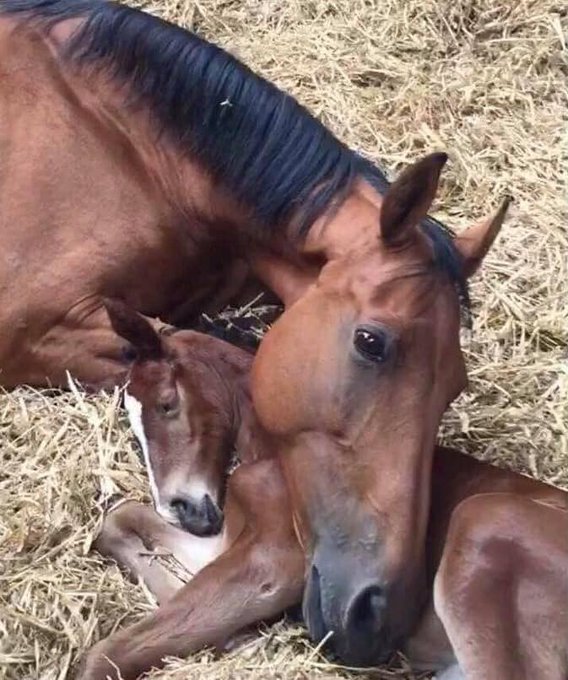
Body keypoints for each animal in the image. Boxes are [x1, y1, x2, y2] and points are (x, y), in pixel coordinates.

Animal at [80, 300, 568, 680]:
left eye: (167, 403)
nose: (180, 508)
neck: (272, 452)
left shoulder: (277, 561)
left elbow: (110, 653)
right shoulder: (228, 541)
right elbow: (118, 521)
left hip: (483, 522)